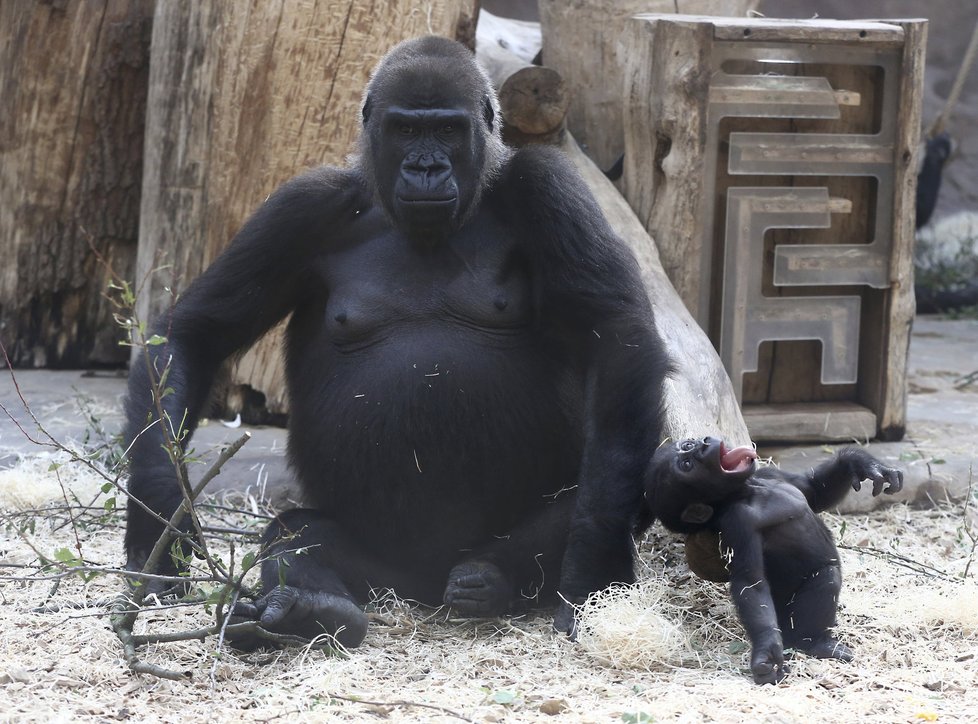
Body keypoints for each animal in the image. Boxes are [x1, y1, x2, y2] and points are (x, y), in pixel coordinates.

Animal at [122, 35, 668, 644]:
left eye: (448, 130)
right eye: (406, 130)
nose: (425, 166)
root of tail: (423, 592)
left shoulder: (546, 185)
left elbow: (617, 335)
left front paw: (594, 569)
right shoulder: (303, 205)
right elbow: (198, 332)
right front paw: (157, 521)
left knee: (623, 482)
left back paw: (490, 578)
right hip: (386, 574)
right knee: (298, 531)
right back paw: (311, 608)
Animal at [644, 436, 904, 684]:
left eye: (688, 444)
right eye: (687, 464)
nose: (704, 444)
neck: (748, 490)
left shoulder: (769, 474)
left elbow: (814, 491)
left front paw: (861, 463)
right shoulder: (739, 522)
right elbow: (751, 583)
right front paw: (766, 652)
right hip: (788, 619)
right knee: (827, 579)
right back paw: (816, 642)